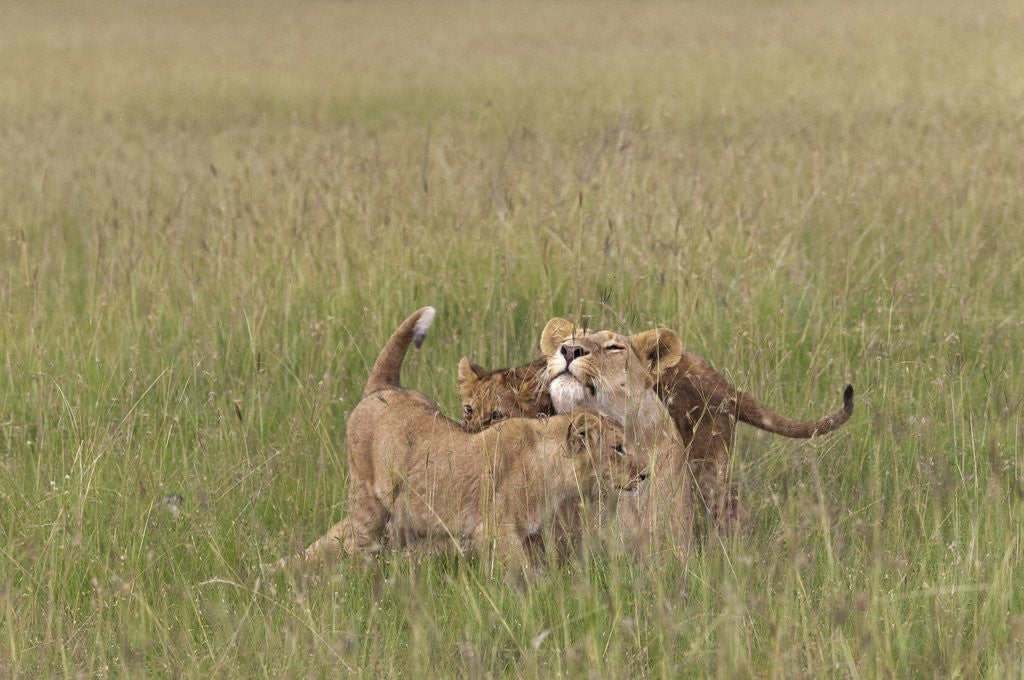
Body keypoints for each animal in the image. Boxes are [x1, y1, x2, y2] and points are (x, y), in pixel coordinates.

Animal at [272, 307, 645, 584]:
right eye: (618, 448)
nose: (645, 474)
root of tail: (385, 387)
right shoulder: (495, 530)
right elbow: (523, 573)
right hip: (368, 504)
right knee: (352, 543)